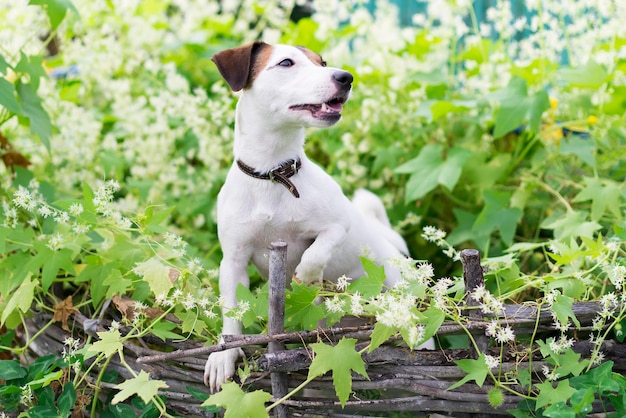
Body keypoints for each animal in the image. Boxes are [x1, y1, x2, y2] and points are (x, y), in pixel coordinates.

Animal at [206, 41, 420, 392]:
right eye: (286, 63)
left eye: (322, 62)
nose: (346, 77)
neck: (274, 175)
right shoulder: (233, 260)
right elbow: (231, 310)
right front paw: (224, 355)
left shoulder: (339, 224)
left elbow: (316, 251)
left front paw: (306, 276)